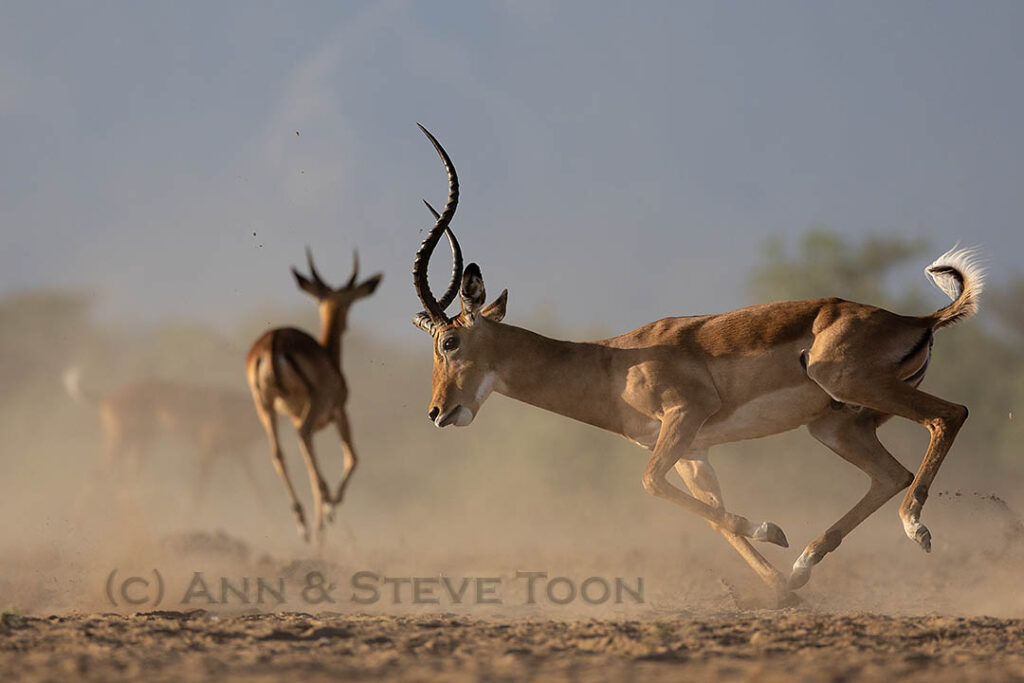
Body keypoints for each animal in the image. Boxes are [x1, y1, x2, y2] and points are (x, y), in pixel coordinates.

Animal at [63, 369, 264, 500]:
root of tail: (106, 398)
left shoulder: (239, 454)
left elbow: (257, 491)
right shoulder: (206, 449)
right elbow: (196, 494)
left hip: (139, 445)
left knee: (124, 484)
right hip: (120, 441)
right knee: (96, 475)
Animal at [245, 248, 383, 543]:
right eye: (347, 301)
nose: (345, 323)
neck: (329, 356)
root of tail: (273, 341)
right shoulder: (339, 413)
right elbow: (352, 457)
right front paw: (330, 507)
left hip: (264, 407)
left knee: (278, 453)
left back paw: (302, 520)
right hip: (313, 408)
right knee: (304, 438)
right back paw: (324, 506)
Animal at [410, 124, 983, 605]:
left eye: (450, 342)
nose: (437, 412)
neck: (613, 364)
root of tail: (917, 318)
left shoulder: (685, 416)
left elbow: (650, 484)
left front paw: (772, 533)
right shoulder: (693, 451)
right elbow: (713, 518)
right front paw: (783, 588)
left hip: (847, 382)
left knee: (949, 415)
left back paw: (915, 529)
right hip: (835, 424)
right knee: (891, 472)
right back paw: (804, 565)